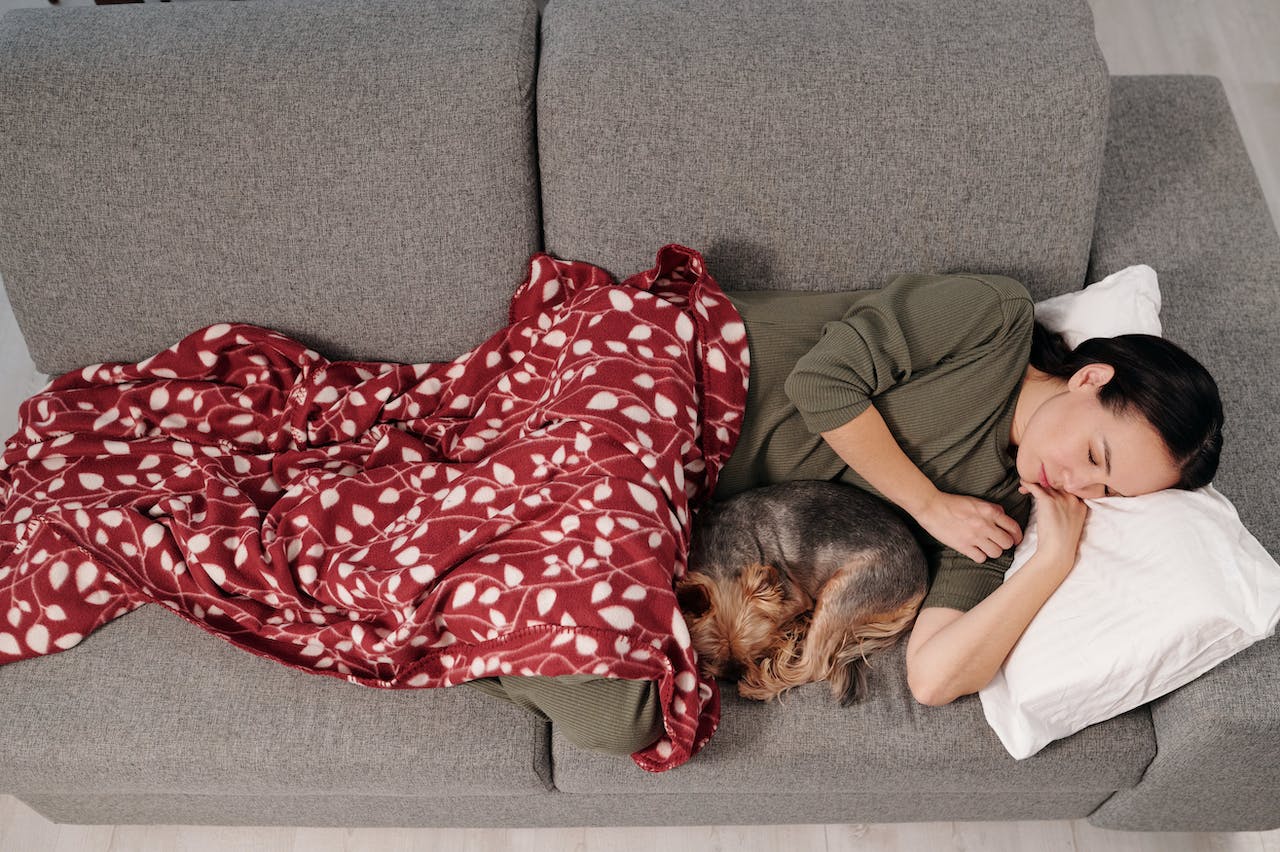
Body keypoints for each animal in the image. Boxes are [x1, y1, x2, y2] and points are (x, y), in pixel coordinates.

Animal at [680, 478, 931, 701]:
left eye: (754, 652)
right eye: (711, 655)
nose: (733, 677)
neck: (724, 557)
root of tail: (921, 583)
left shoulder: (794, 596)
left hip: (844, 592)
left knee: (813, 666)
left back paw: (761, 686)